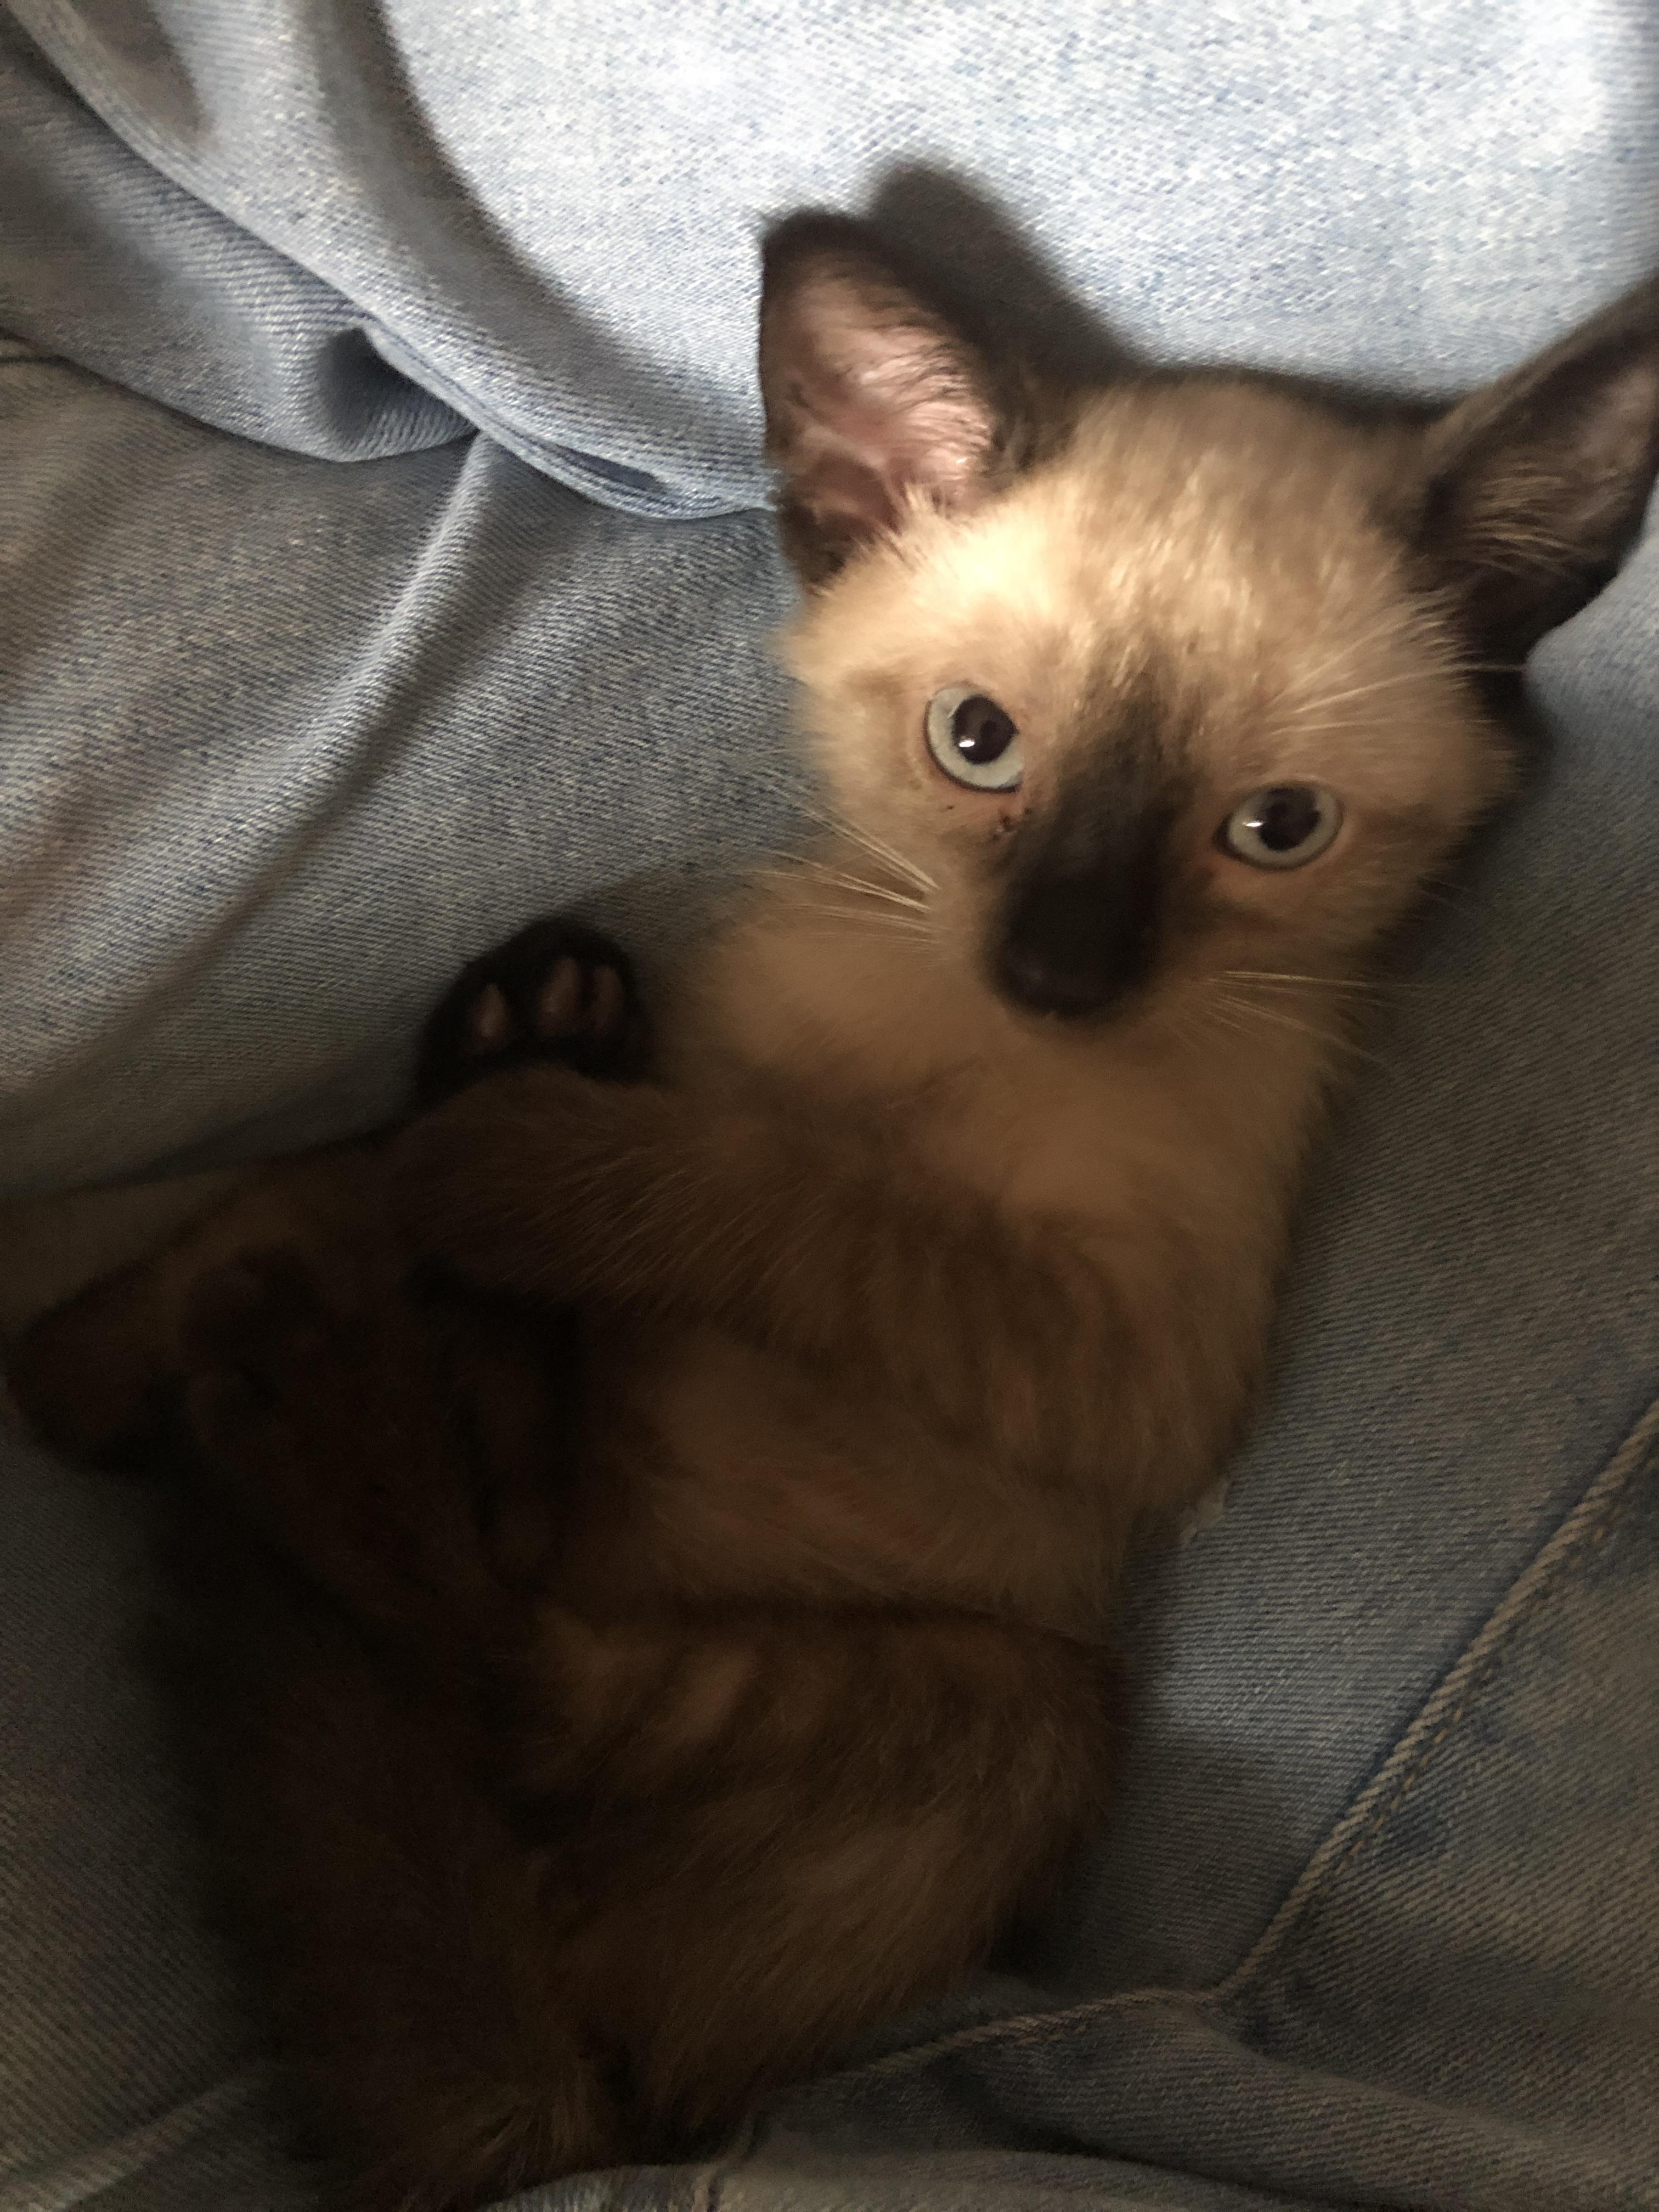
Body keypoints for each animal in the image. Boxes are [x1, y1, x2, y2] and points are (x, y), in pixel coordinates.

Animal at [13, 211, 1659, 2212]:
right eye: (978, 745)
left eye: (1274, 832)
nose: (1059, 972)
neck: (941, 1016)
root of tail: (570, 2112)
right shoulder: (739, 1059)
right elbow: (365, 1163)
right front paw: (160, 1283)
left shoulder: (1134, 1359)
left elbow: (800, 1195)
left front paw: (520, 1166)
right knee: (409, 1457)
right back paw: (233, 1284)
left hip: (1016, 1706)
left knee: (500, 1653)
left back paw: (319, 1341)